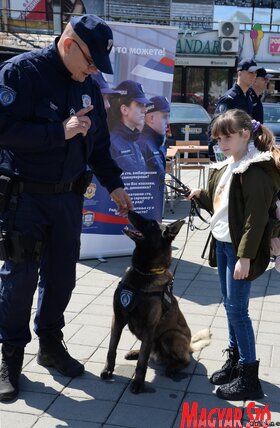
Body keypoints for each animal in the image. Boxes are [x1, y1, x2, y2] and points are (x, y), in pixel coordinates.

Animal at [100, 211, 210, 394]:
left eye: (152, 224)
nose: (129, 211)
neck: (143, 273)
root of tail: (190, 346)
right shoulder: (118, 319)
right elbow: (111, 349)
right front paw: (108, 370)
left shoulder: (149, 327)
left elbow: (142, 362)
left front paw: (138, 383)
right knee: (149, 351)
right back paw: (135, 352)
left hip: (169, 336)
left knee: (183, 359)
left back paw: (173, 367)